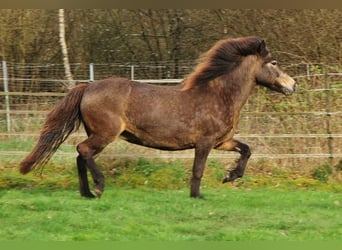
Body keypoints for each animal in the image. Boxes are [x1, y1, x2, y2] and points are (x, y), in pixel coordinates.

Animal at [20, 36, 296, 198]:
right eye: (273, 62)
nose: (292, 85)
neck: (218, 95)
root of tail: (87, 87)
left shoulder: (222, 142)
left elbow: (246, 150)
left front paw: (230, 176)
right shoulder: (205, 143)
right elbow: (198, 170)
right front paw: (197, 196)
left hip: (98, 134)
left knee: (80, 156)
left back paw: (87, 193)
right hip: (104, 134)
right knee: (83, 151)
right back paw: (98, 187)